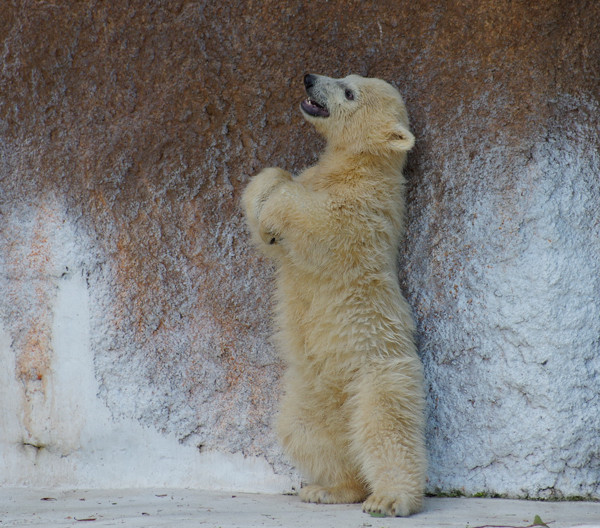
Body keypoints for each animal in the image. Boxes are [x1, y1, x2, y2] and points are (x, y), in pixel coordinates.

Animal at [241, 73, 426, 517]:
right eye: (346, 76)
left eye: (349, 92)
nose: (309, 78)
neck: (356, 165)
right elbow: (274, 219)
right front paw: (264, 202)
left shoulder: (368, 209)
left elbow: (323, 221)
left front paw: (275, 208)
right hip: (308, 394)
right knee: (307, 433)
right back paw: (331, 489)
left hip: (381, 374)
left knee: (386, 429)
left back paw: (390, 498)